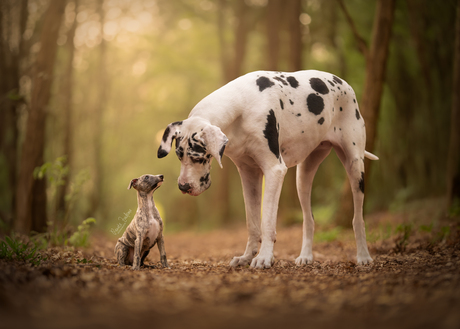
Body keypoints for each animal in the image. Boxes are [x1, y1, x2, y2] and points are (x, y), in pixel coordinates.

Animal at [157, 70, 378, 268]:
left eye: (197, 157)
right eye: (179, 155)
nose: (183, 187)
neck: (241, 105)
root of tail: (343, 83)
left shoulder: (274, 170)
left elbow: (267, 222)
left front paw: (264, 257)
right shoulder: (249, 174)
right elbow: (252, 223)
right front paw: (246, 257)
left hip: (355, 167)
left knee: (358, 218)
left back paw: (363, 257)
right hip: (303, 178)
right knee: (309, 219)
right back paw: (306, 256)